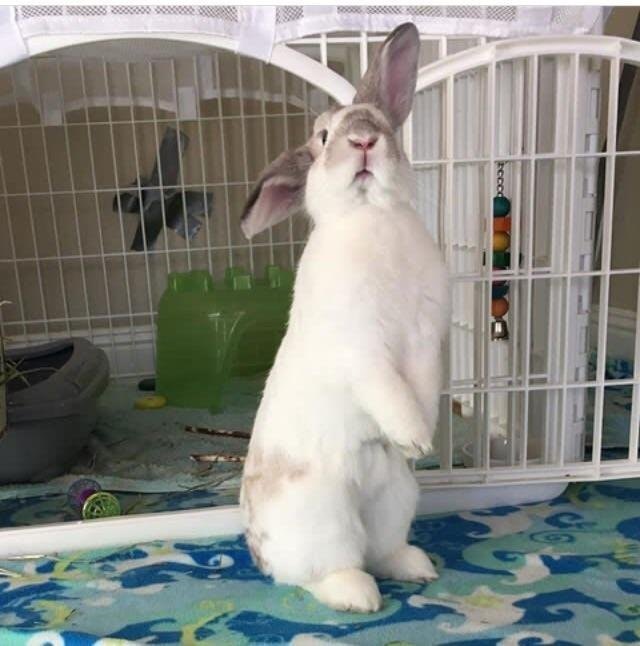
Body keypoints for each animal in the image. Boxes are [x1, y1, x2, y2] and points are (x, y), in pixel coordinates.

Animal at [239, 23, 450, 613]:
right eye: (323, 136)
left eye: (382, 124)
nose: (363, 141)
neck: (371, 216)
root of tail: (259, 553)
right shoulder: (360, 348)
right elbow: (387, 388)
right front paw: (414, 436)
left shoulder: (426, 337)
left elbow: (422, 384)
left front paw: (421, 438)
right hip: (322, 518)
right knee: (315, 572)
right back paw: (358, 597)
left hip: (396, 500)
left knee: (380, 548)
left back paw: (417, 567)